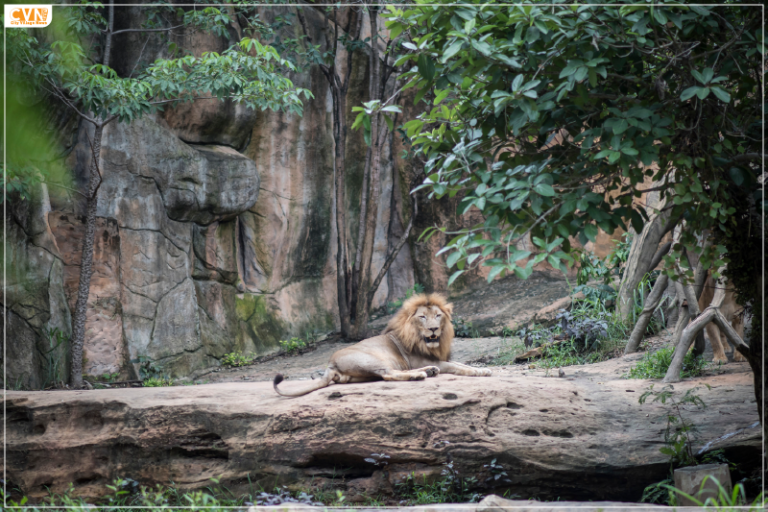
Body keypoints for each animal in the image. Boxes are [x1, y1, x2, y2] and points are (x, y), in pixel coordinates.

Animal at [273, 293, 492, 397]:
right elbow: (457, 367)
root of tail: (330, 365)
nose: (433, 329)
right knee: (388, 374)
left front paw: (483, 369)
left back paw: (429, 371)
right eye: (422, 317)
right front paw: (479, 372)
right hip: (373, 359)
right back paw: (421, 374)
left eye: (438, 315)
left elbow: (461, 364)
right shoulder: (425, 360)